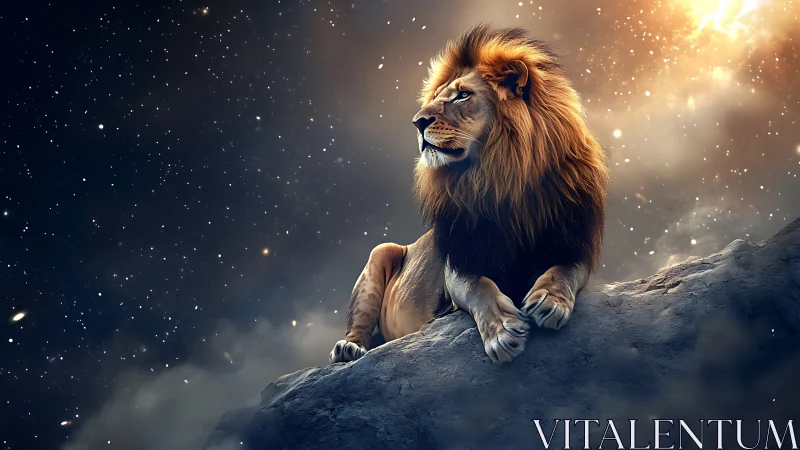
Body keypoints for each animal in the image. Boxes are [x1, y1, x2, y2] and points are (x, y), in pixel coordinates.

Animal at [330, 25, 609, 364]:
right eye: (437, 97)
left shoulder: (573, 242)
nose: (417, 122)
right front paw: (502, 331)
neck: (500, 176)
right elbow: (481, 287)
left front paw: (549, 300)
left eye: (463, 95)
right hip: (381, 251)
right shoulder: (461, 263)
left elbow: (564, 271)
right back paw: (349, 348)